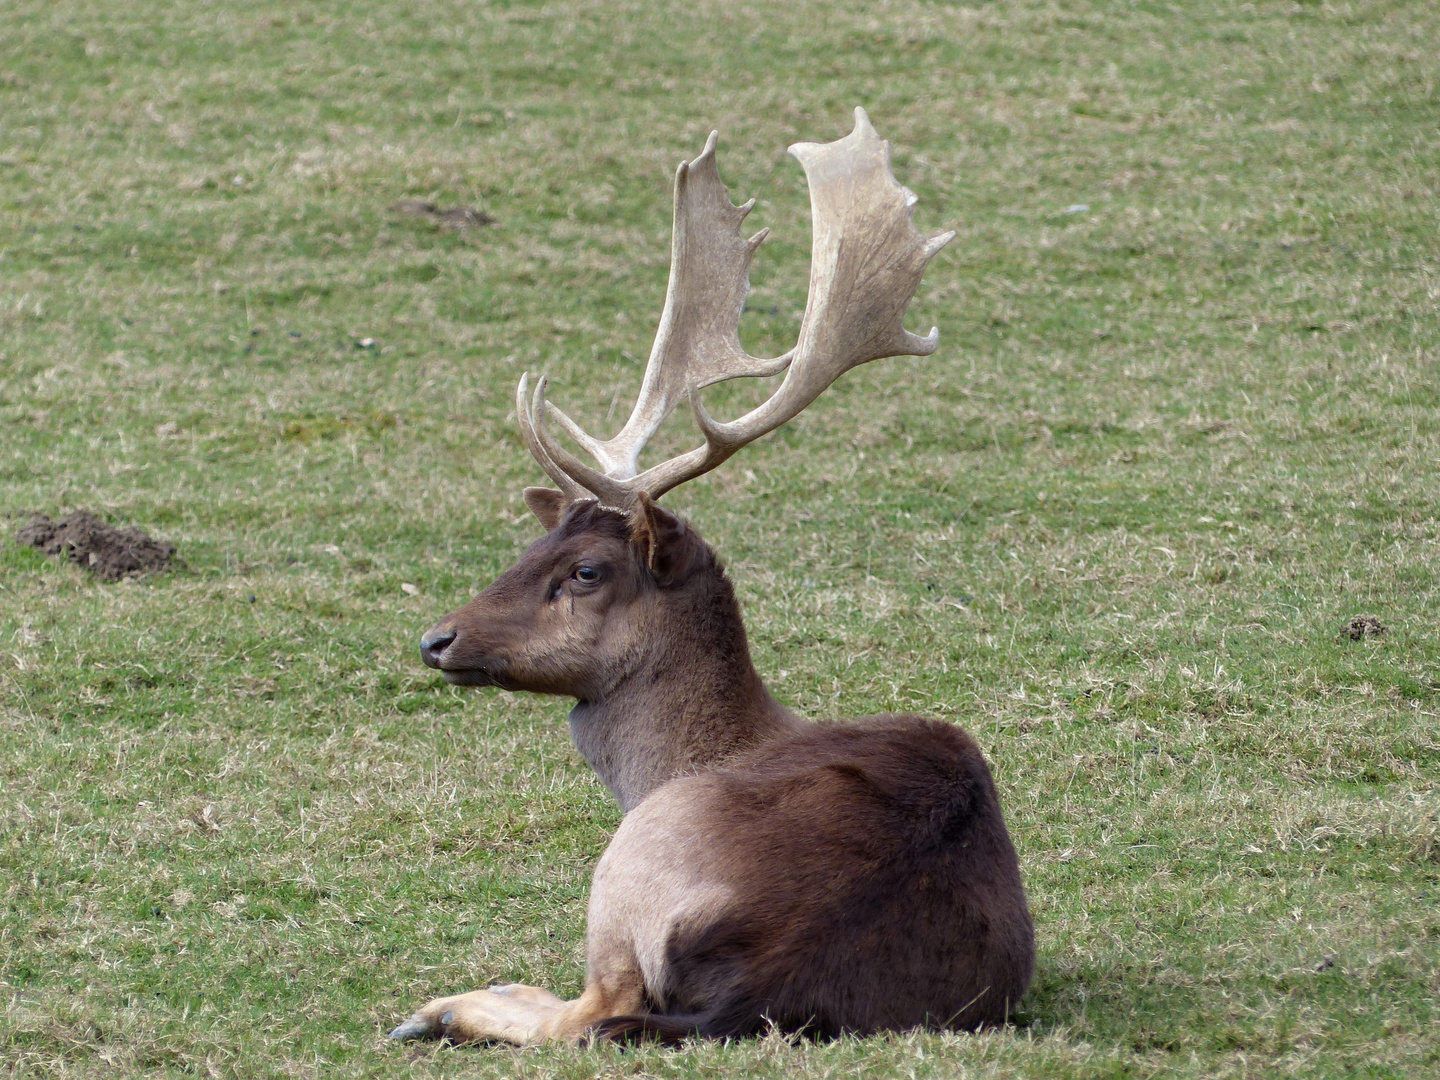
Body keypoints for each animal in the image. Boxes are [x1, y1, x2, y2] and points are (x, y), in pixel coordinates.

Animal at [388, 110, 1031, 1048]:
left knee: (593, 1011)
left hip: (626, 871)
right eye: (527, 548)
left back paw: (440, 1006)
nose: (438, 639)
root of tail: (754, 975)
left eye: (586, 570)